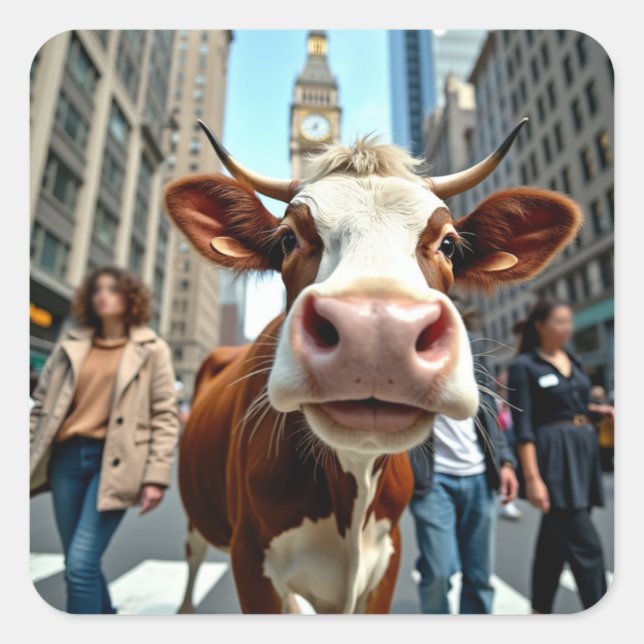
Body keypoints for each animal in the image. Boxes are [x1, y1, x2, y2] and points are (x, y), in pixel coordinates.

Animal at [164, 117, 582, 614]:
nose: (378, 331)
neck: (353, 483)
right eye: (287, 238)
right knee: (190, 569)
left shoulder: (387, 561)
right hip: (198, 525)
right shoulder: (251, 560)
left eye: (448, 243)